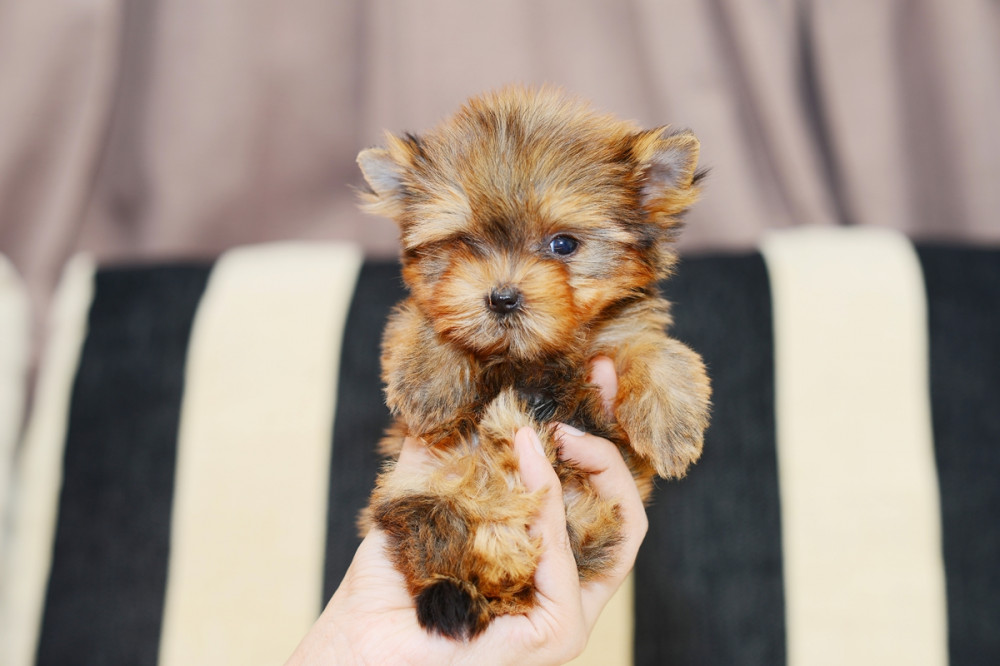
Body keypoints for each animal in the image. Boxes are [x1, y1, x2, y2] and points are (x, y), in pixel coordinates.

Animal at [356, 87, 708, 640]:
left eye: (563, 244)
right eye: (463, 243)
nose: (501, 298)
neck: (528, 356)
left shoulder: (624, 328)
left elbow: (656, 348)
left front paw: (671, 423)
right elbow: (425, 317)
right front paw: (429, 380)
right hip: (409, 490)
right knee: (440, 530)